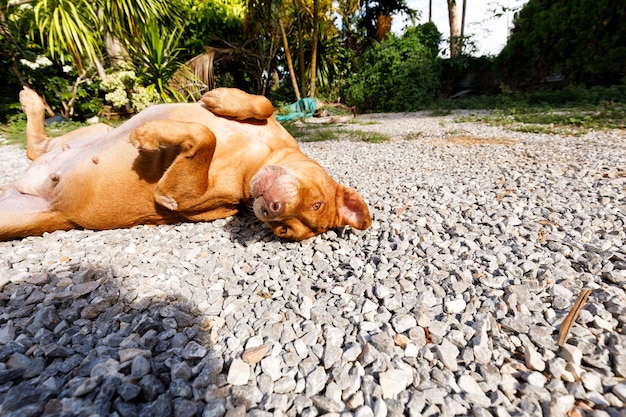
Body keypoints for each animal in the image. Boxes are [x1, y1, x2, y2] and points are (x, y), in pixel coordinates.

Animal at [0, 87, 370, 240]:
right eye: (317, 202)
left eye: (284, 231)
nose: (272, 210)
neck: (257, 155)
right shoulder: (268, 120)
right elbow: (263, 103)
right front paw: (222, 99)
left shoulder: (189, 199)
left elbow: (205, 138)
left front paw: (151, 135)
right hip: (97, 129)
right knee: (37, 147)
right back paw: (31, 102)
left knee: (35, 149)